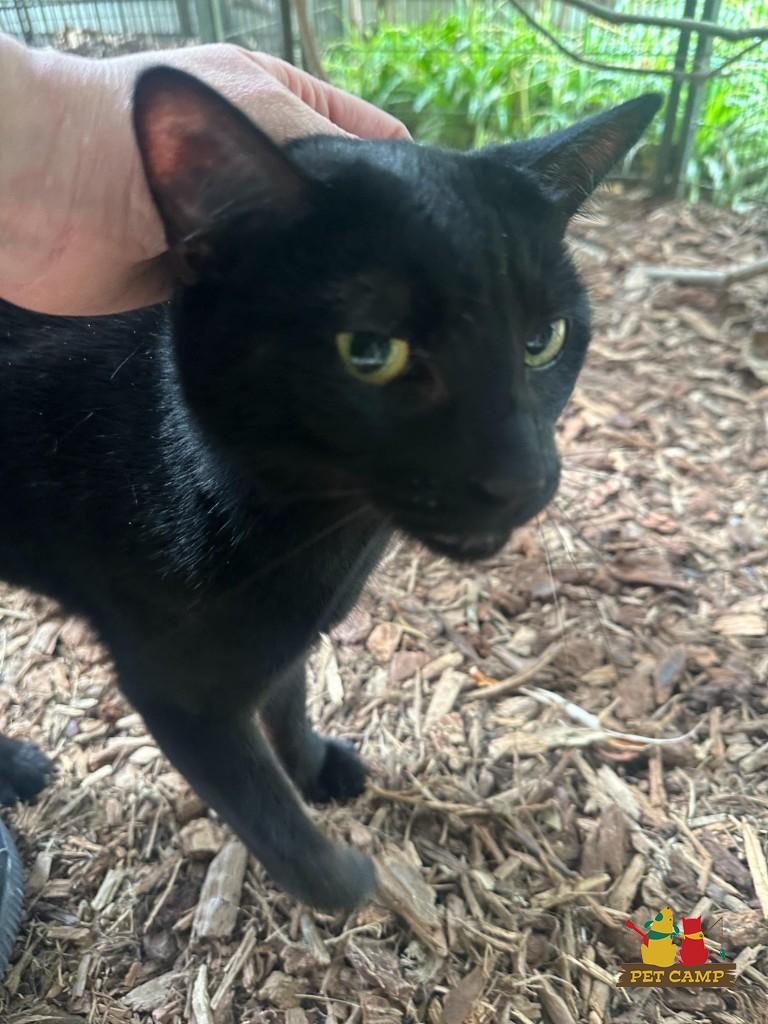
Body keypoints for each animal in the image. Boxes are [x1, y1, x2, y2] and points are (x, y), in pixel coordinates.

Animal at [0, 67, 661, 910]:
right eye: (370, 352)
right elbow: (268, 815)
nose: (523, 477)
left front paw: (315, 769)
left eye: (543, 340)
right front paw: (350, 882)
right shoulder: (176, 695)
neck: (324, 538)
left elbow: (289, 701)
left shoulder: (287, 643)